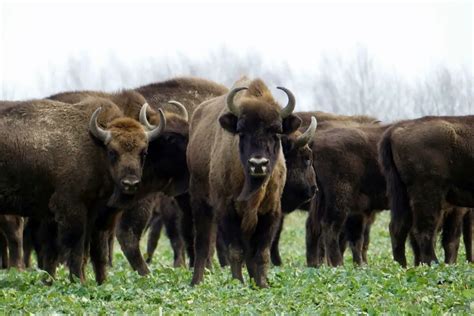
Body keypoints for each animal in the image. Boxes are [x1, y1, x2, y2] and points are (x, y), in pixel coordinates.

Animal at [380, 115, 474, 266]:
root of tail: (395, 129)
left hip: (402, 194)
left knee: (398, 228)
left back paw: (402, 266)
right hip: (428, 193)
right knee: (424, 230)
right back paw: (433, 264)